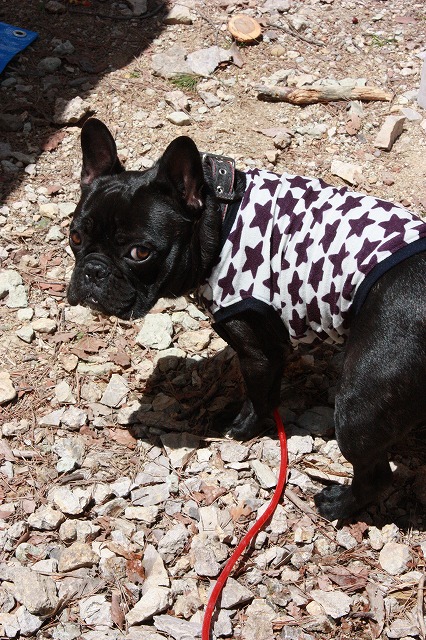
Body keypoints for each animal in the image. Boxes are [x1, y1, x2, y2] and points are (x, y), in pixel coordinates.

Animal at [67, 117, 426, 520]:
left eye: (140, 252)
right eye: (75, 236)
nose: (92, 271)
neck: (216, 220)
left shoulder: (256, 352)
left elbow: (255, 397)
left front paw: (240, 428)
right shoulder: (272, 347)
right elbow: (269, 394)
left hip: (358, 405)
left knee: (375, 474)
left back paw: (338, 504)